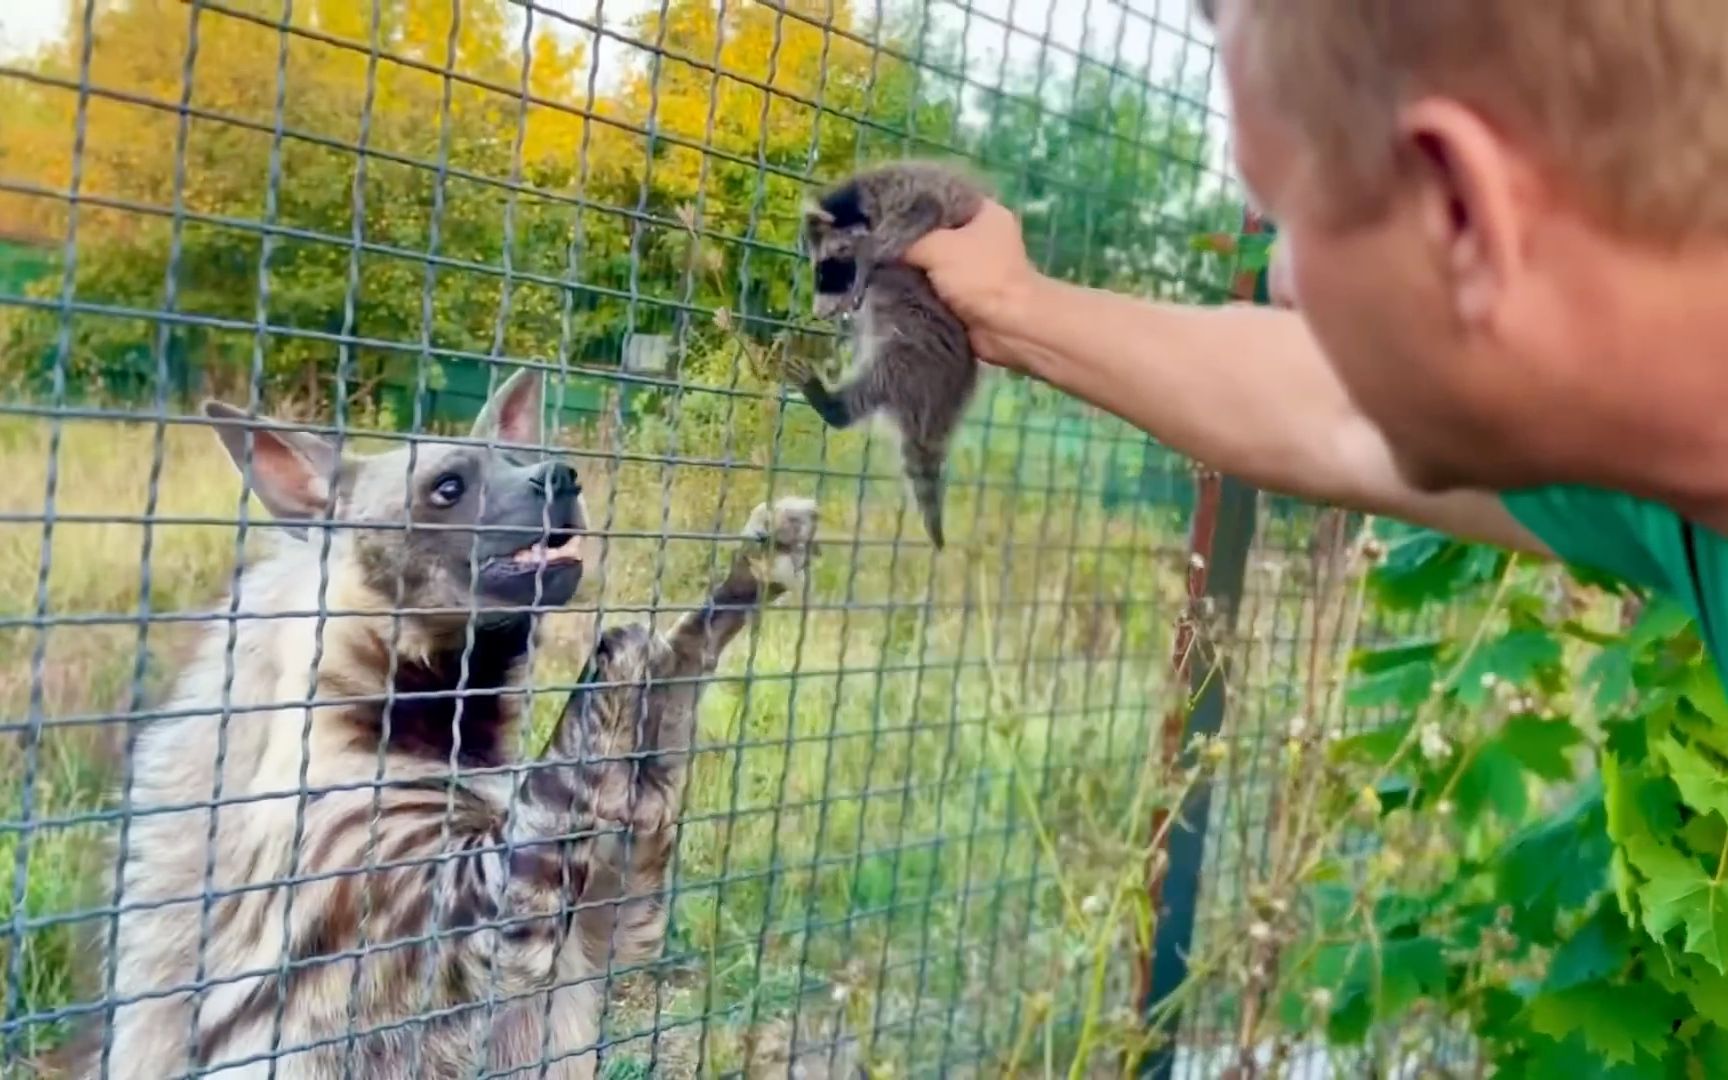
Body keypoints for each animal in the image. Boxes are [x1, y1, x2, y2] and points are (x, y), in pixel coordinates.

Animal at [784, 159, 988, 546]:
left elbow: (920, 212)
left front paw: (870, 254)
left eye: (828, 270)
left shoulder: (920, 197)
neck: (859, 201)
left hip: (916, 353)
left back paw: (834, 405)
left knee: (879, 377)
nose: (819, 312)